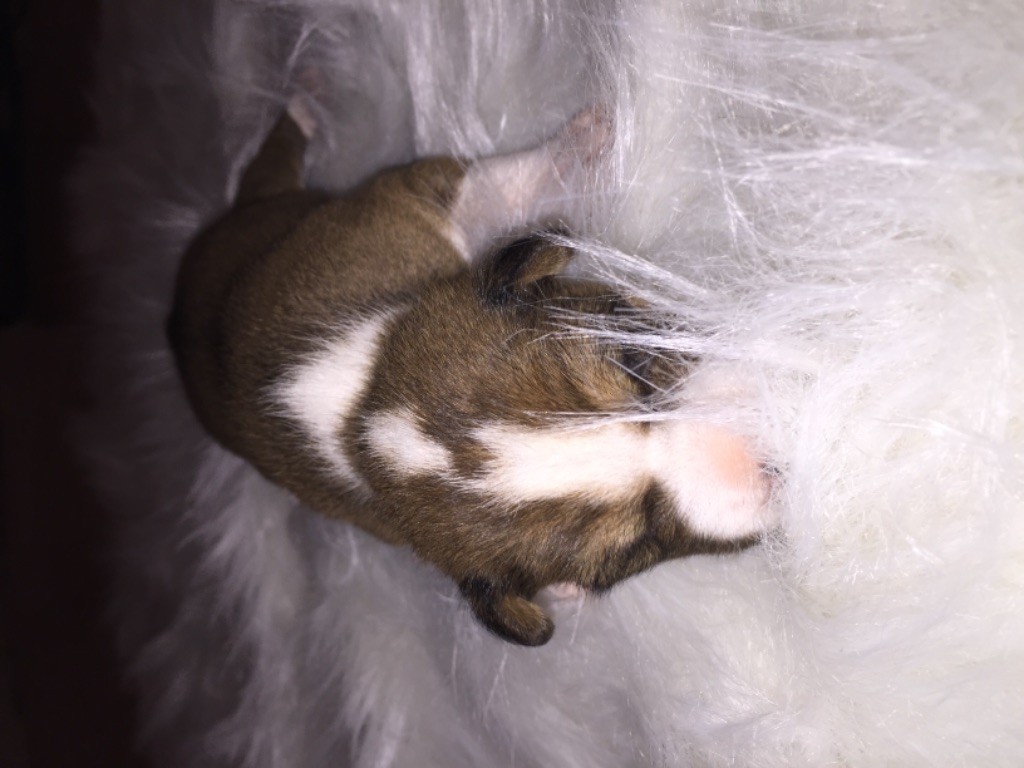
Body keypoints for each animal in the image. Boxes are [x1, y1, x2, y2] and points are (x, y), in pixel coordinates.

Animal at [168, 100, 774, 646]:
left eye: (635, 360)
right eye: (633, 548)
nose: (765, 459)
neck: (363, 412)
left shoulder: (412, 203)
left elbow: (496, 186)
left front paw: (588, 140)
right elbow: (491, 186)